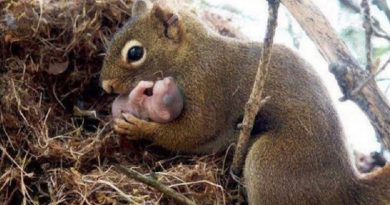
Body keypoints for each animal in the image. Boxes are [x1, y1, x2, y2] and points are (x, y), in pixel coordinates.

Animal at [100, 0, 390, 204]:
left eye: (135, 53)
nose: (106, 86)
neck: (190, 56)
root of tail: (345, 189)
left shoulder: (208, 85)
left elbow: (193, 132)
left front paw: (138, 127)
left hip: (270, 163)